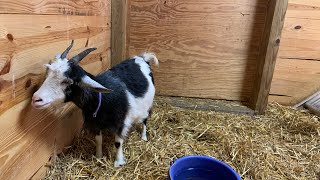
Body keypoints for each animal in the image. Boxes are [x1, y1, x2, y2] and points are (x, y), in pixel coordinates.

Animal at [31, 40, 159, 167]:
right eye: (48, 73)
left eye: (67, 81)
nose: (36, 99)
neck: (101, 99)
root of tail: (143, 58)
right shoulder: (96, 123)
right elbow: (98, 140)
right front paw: (98, 156)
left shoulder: (121, 123)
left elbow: (118, 143)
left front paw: (118, 162)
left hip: (147, 105)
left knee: (145, 120)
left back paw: (143, 137)